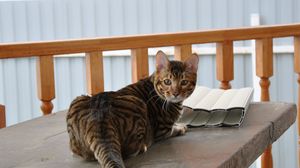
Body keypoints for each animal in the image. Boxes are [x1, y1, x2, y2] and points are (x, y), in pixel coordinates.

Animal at [66, 50, 198, 167]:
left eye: (184, 82)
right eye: (167, 81)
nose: (175, 93)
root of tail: (100, 117)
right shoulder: (162, 130)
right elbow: (173, 130)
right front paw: (181, 127)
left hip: (78, 100)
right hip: (139, 104)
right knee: (129, 150)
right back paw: (143, 146)